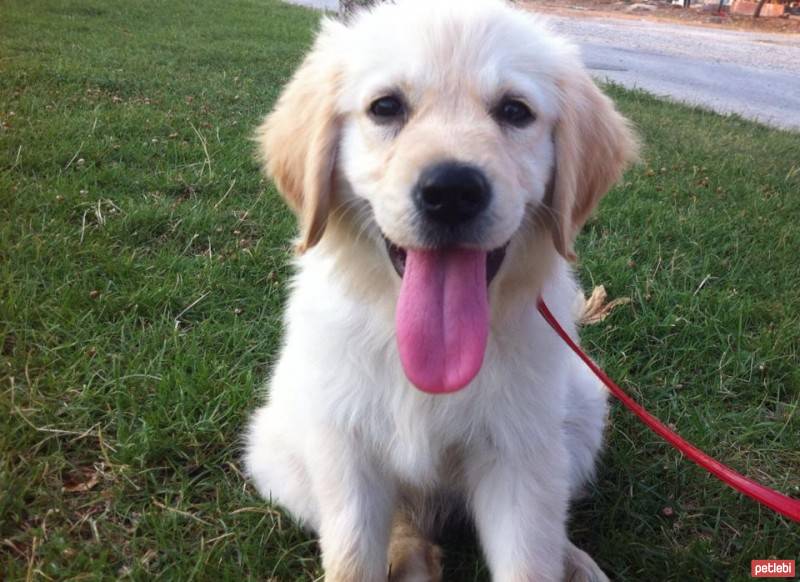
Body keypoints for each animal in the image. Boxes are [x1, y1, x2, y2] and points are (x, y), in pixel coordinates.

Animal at [244, 2, 636, 580]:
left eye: (515, 111)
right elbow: (352, 556)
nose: (452, 191)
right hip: (276, 446)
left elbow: (530, 557)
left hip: (582, 411)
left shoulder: (520, 455)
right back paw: (409, 552)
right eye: (386, 107)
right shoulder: (345, 453)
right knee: (397, 521)